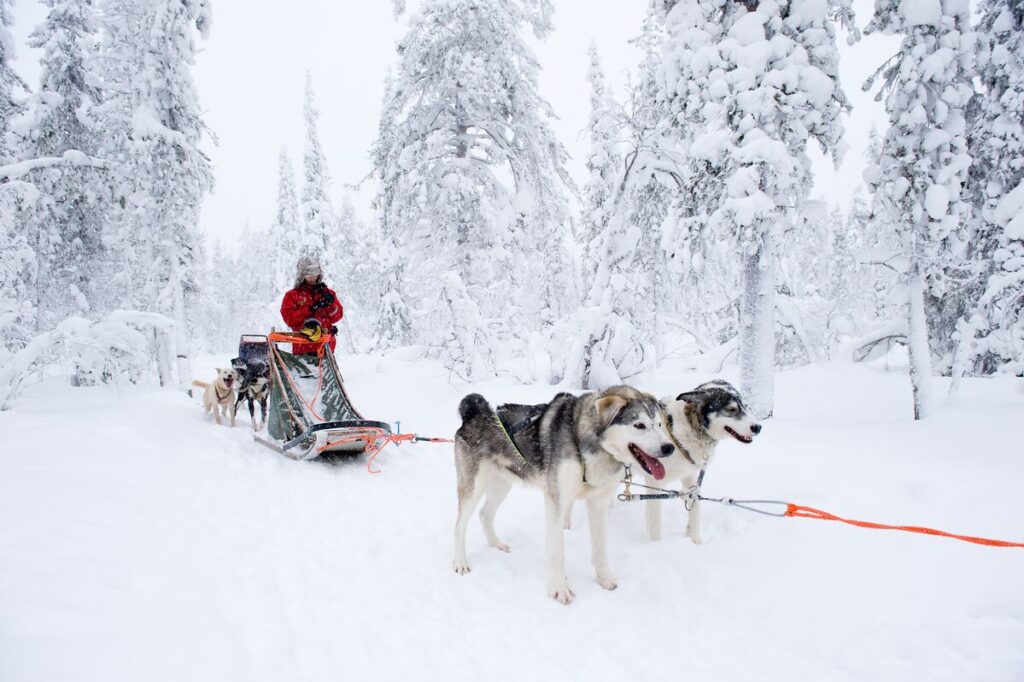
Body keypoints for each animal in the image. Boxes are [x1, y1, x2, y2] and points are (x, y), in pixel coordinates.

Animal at [452, 385, 675, 602]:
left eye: (659, 424)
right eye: (639, 425)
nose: (669, 447)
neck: (584, 440)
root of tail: (475, 412)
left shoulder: (599, 503)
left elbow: (600, 548)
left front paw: (604, 579)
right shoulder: (556, 502)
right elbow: (557, 551)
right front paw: (559, 589)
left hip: (501, 486)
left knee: (485, 514)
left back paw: (496, 544)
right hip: (474, 487)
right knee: (460, 526)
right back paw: (460, 562)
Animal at [647, 376, 761, 540]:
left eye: (745, 406)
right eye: (732, 409)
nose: (758, 427)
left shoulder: (690, 477)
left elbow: (695, 504)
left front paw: (694, 539)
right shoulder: (654, 484)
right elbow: (654, 523)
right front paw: (656, 544)